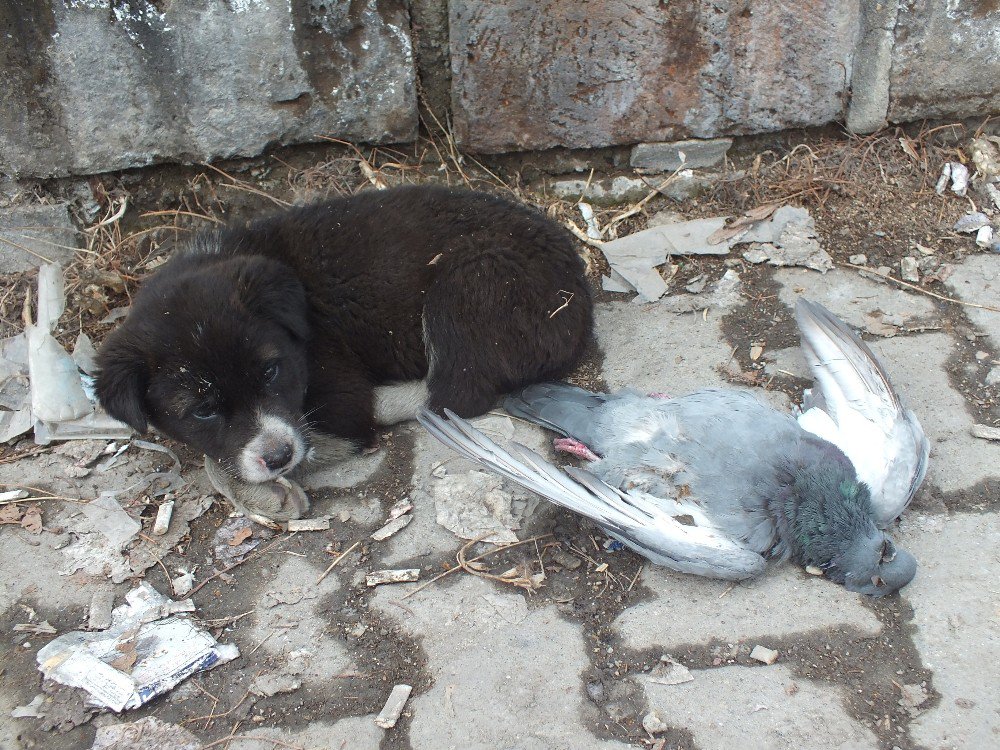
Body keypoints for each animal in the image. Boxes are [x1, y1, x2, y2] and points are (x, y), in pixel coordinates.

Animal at [95, 185, 592, 520]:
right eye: (201, 410)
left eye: (271, 372)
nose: (279, 457)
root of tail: (580, 295)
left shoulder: (337, 404)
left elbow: (217, 461)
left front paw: (263, 492)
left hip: (470, 281)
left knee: (457, 392)